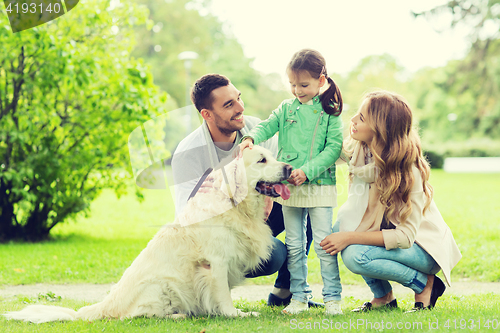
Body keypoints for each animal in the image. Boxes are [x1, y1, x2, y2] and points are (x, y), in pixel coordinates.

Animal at [2, 145, 292, 322]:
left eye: (273, 156)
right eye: (262, 160)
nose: (289, 168)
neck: (236, 205)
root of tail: (105, 305)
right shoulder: (216, 263)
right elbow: (223, 295)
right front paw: (236, 314)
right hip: (161, 285)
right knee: (136, 315)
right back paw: (179, 315)